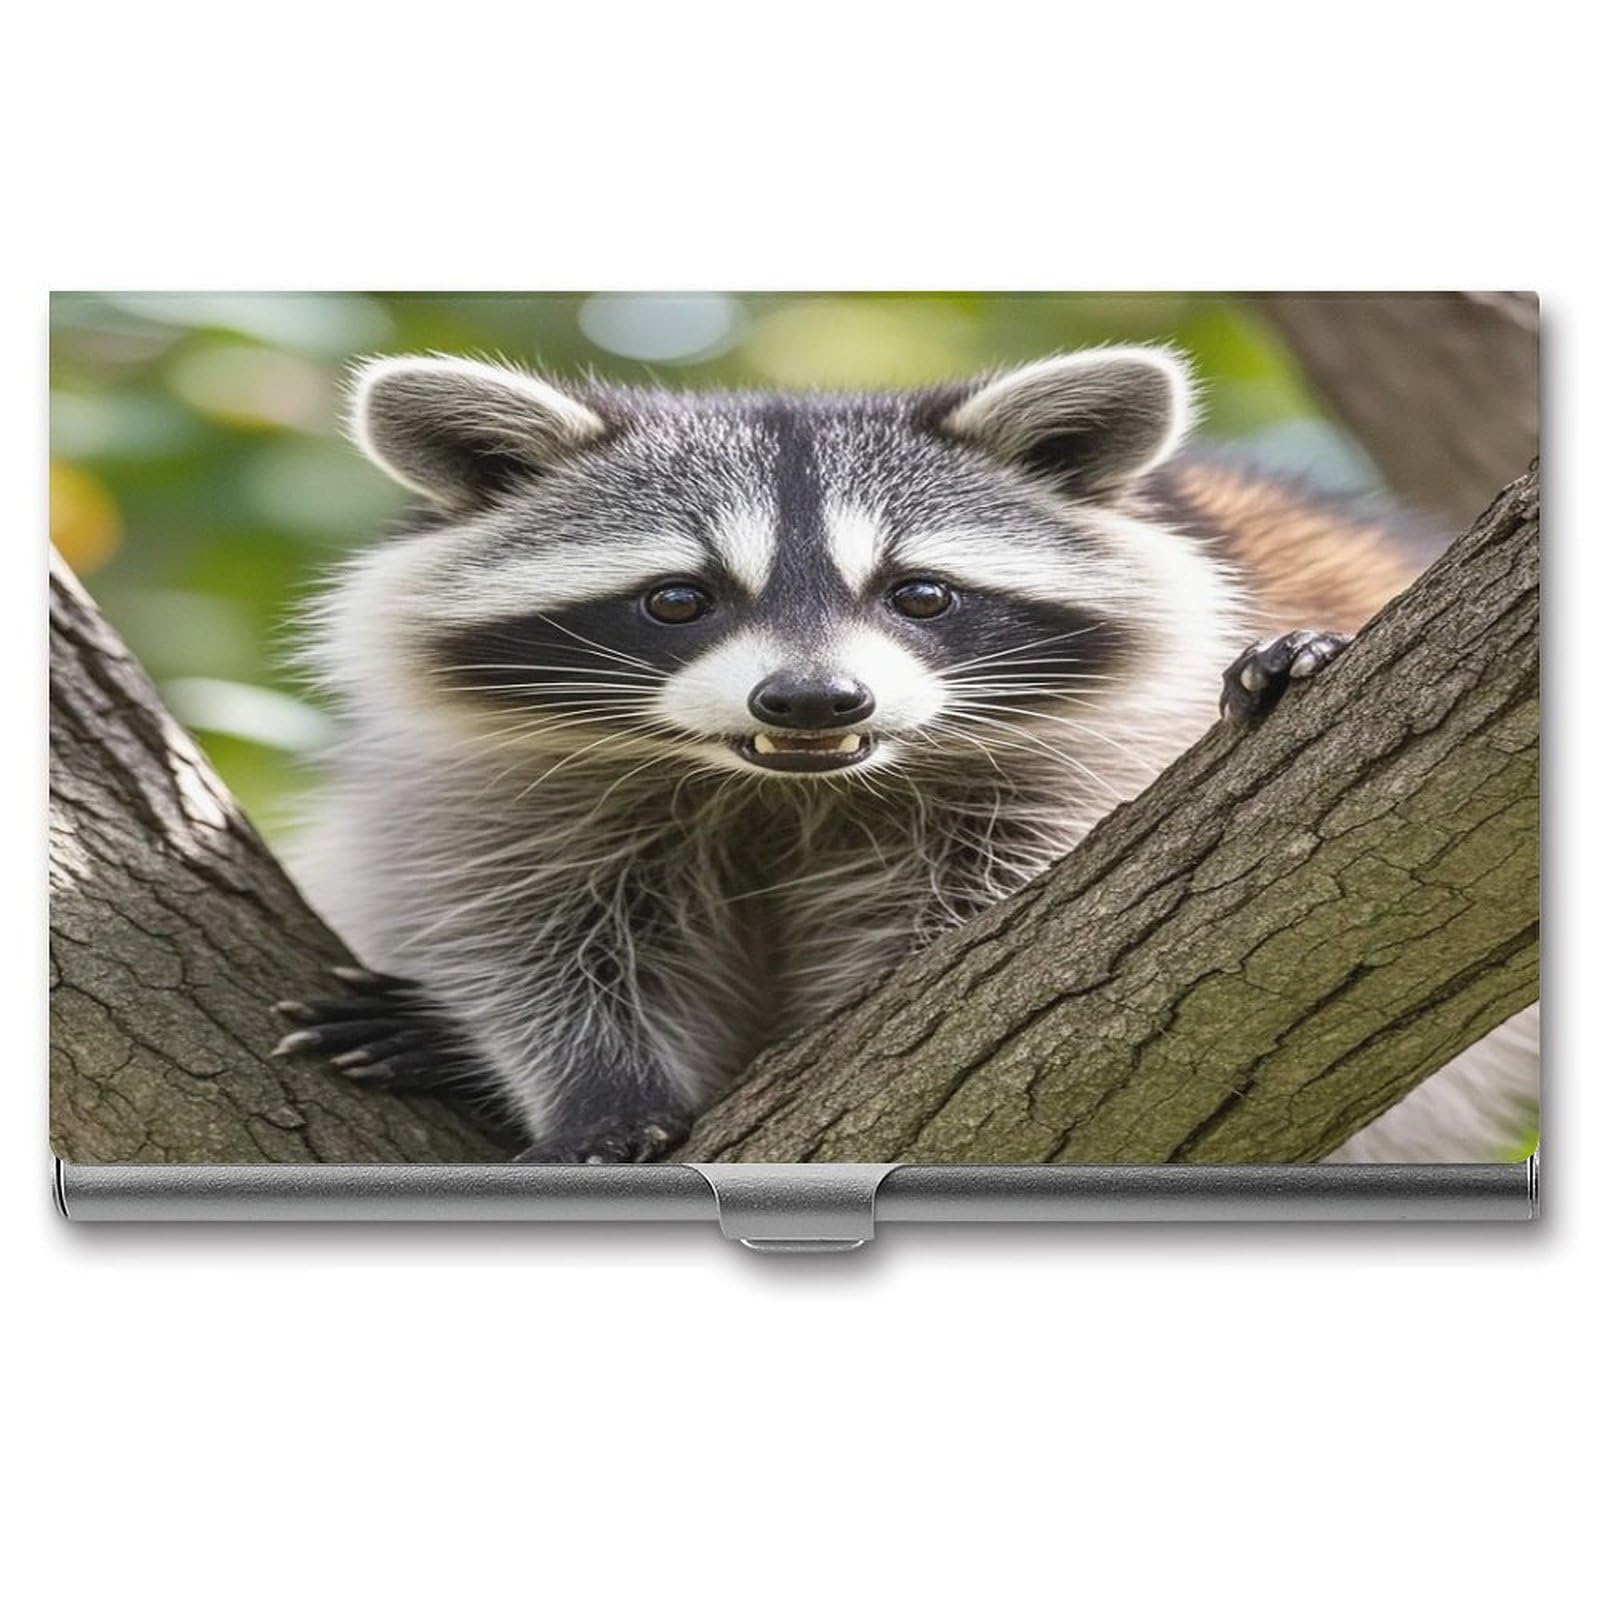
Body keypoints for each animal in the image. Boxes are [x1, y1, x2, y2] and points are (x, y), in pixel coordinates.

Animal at [277, 347, 1537, 1164]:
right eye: (678, 598)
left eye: (919, 594)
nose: (812, 697)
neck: (778, 784)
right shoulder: (512, 779)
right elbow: (535, 928)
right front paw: (594, 1089)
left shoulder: (1091, 757)